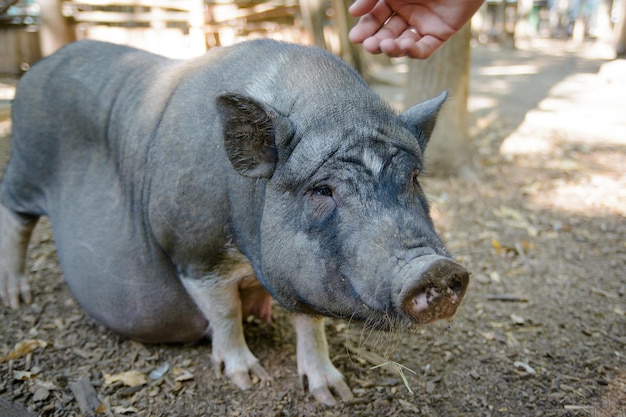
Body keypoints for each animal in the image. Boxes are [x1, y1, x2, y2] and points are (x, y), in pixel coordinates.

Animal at [0, 38, 468, 404]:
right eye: (322, 190)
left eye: (413, 177)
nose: (435, 268)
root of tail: (39, 66)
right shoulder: (194, 249)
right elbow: (223, 312)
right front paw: (248, 378)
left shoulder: (298, 275)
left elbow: (310, 324)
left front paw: (334, 394)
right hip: (23, 166)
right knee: (15, 218)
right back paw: (17, 298)